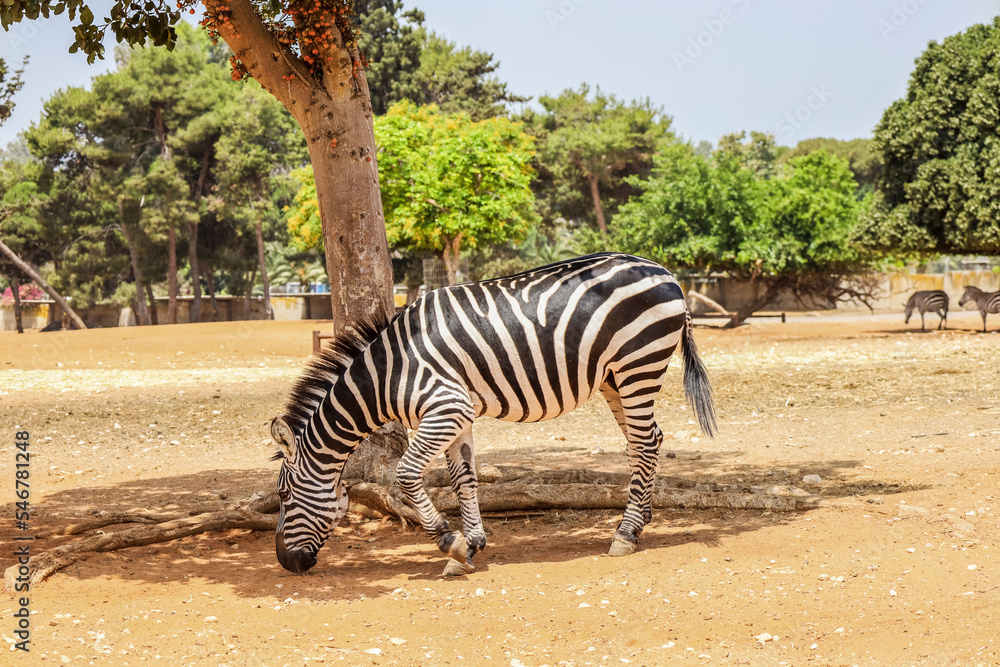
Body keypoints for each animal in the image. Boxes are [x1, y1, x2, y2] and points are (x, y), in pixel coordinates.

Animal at [270, 253, 716, 576]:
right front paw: (470, 545)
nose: (286, 565)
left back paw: (625, 534)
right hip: (613, 378)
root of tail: (664, 271)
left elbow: (406, 475)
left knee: (645, 443)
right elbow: (463, 478)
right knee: (647, 442)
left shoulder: (445, 408)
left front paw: (449, 542)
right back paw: (641, 520)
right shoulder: (457, 415)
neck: (388, 373)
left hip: (639, 363)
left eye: (284, 496)